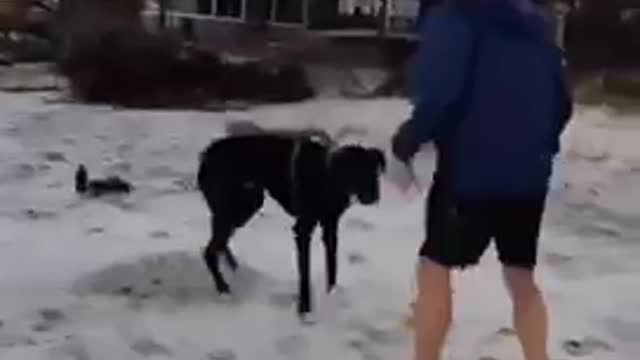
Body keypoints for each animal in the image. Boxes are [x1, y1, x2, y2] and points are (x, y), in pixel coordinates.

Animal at [195, 133, 384, 318]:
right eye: (355, 171)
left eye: (374, 172)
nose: (374, 198)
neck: (327, 174)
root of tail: (206, 154)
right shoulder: (302, 231)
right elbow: (305, 273)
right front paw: (305, 309)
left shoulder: (330, 227)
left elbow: (332, 264)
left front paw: (332, 293)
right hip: (238, 207)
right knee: (209, 250)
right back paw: (223, 288)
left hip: (246, 205)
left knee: (220, 242)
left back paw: (233, 267)